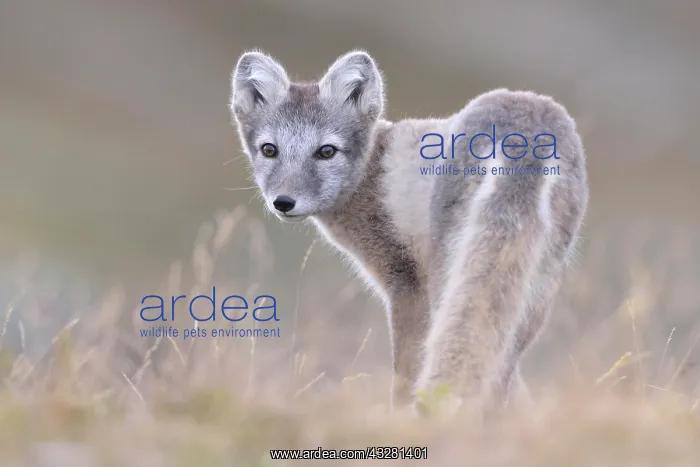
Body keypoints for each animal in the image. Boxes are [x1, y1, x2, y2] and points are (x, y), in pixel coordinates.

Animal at [229, 50, 588, 413]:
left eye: (326, 151)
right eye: (269, 150)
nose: (283, 202)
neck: (371, 172)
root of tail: (526, 131)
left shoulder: (406, 283)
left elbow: (406, 369)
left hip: (449, 274)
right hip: (536, 290)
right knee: (502, 367)